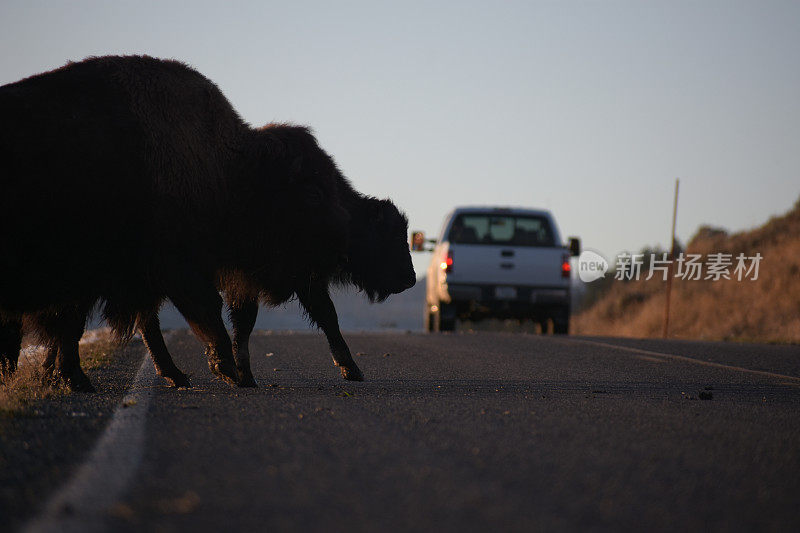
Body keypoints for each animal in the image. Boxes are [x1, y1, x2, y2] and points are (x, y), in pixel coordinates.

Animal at [3, 55, 418, 390]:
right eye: (314, 193)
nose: (411, 279)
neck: (232, 172)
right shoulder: (183, 269)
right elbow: (213, 313)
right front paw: (231, 370)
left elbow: (248, 320)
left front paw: (241, 372)